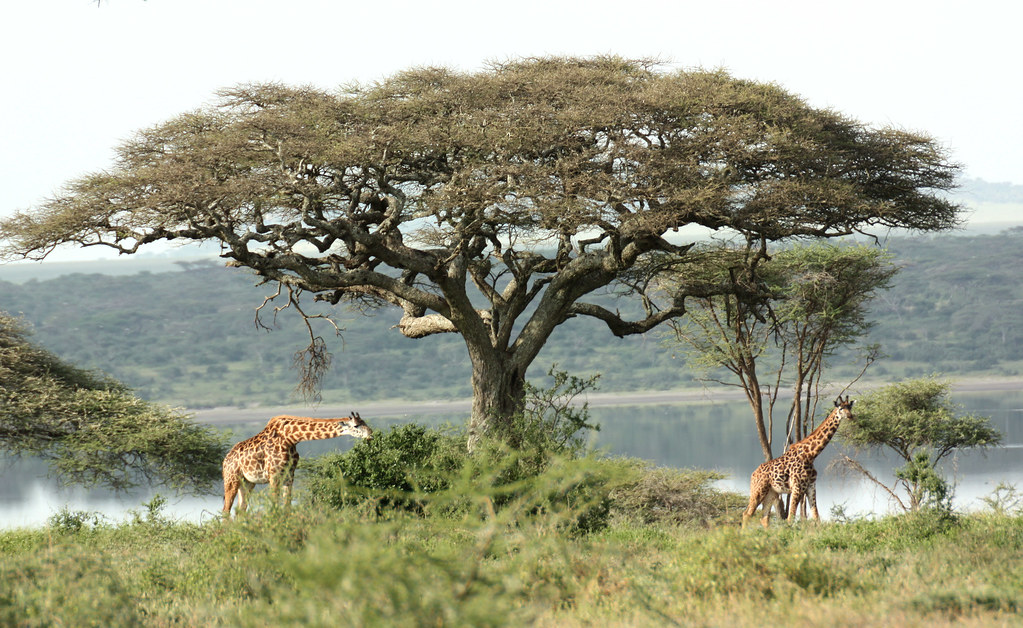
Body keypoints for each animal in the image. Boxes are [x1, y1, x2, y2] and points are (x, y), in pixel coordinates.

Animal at [222, 411, 372, 517]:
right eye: (356, 425)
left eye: (364, 422)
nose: (371, 433)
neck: (291, 437)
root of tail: (225, 460)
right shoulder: (274, 474)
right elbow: (274, 505)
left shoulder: (289, 474)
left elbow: (287, 506)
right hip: (231, 480)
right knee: (225, 510)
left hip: (247, 483)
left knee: (240, 511)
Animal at [742, 396, 854, 528]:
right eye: (841, 408)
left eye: (850, 407)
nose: (850, 416)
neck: (810, 455)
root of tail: (753, 474)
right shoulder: (797, 487)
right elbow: (791, 517)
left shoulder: (811, 486)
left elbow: (816, 517)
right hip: (758, 490)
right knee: (747, 514)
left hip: (772, 493)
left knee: (764, 518)